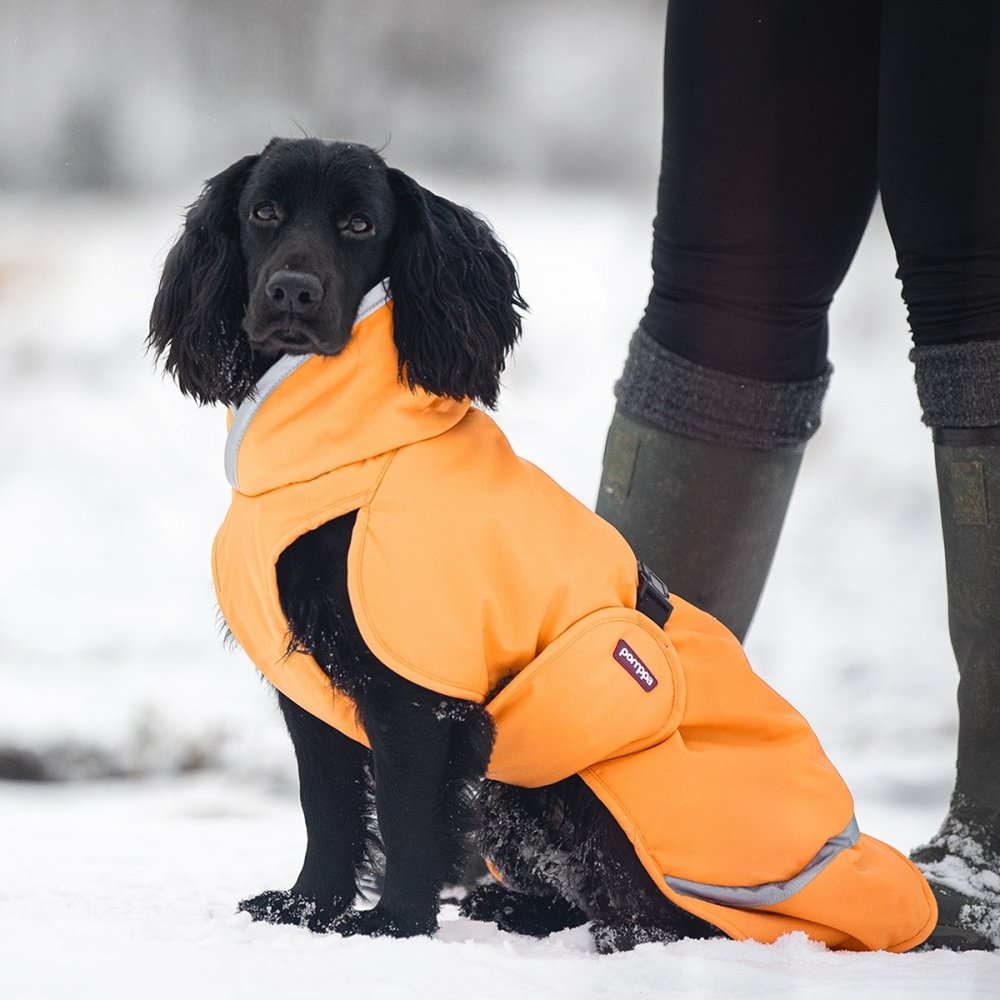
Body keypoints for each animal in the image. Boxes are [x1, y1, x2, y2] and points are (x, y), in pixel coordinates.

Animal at [148, 137, 716, 948]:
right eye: (263, 212)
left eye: (359, 224)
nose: (291, 293)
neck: (343, 453)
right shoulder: (310, 687)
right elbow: (327, 807)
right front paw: (306, 908)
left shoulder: (416, 692)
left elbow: (407, 813)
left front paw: (394, 924)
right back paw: (510, 906)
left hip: (571, 780)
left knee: (661, 914)